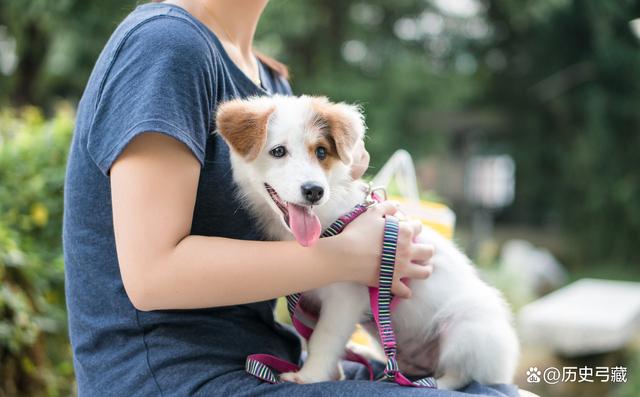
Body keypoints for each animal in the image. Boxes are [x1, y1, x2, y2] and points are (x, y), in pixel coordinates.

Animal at [218, 94, 516, 388]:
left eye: (321, 152)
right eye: (278, 151)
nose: (315, 191)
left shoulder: (345, 296)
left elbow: (325, 338)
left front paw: (309, 376)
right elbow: (311, 336)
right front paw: (331, 373)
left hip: (467, 329)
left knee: (460, 374)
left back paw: (430, 383)